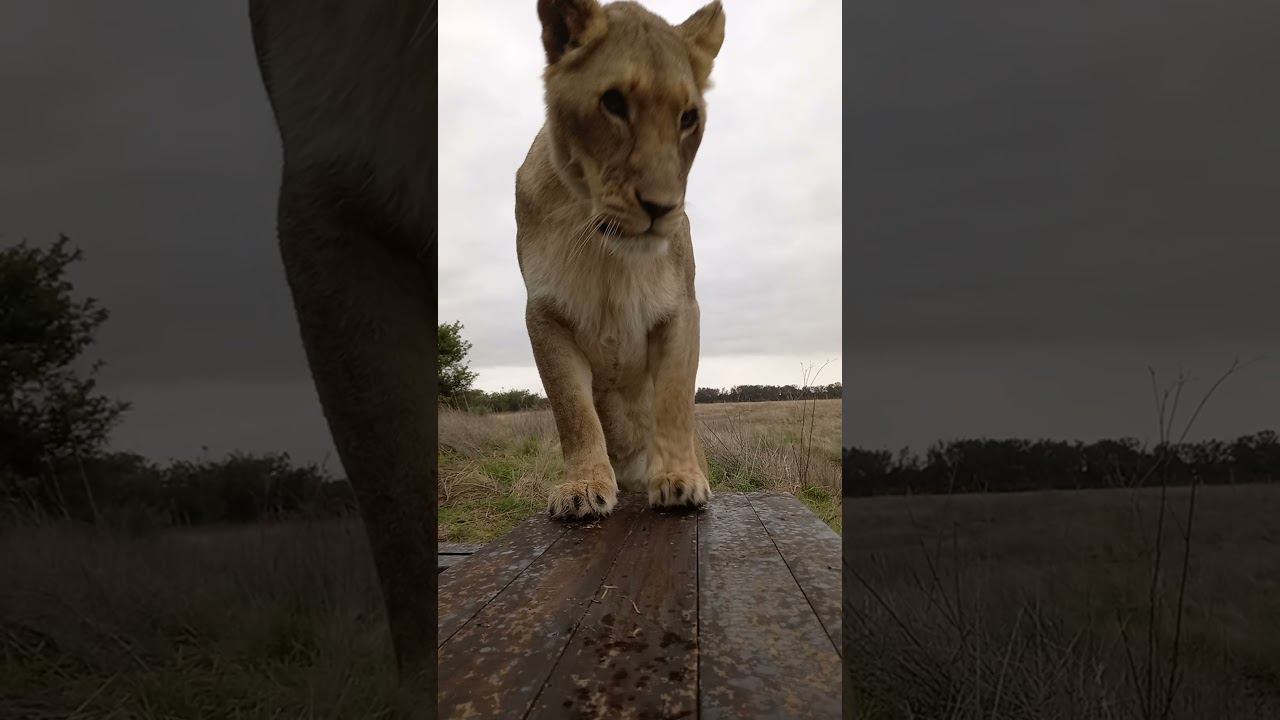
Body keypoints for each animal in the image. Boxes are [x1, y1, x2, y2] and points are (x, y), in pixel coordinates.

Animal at [518, 0, 725, 519]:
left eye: (688, 118)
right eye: (613, 103)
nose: (661, 206)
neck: (602, 244)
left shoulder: (682, 308)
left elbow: (672, 396)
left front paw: (678, 478)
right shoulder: (543, 314)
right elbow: (572, 409)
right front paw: (583, 486)